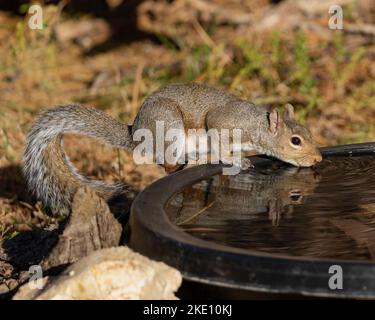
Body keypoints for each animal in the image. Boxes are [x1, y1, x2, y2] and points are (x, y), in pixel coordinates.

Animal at [23, 83, 324, 218]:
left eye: (308, 133)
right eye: (296, 140)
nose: (318, 158)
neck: (256, 126)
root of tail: (137, 133)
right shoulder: (222, 122)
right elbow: (218, 138)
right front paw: (235, 159)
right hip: (170, 129)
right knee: (167, 165)